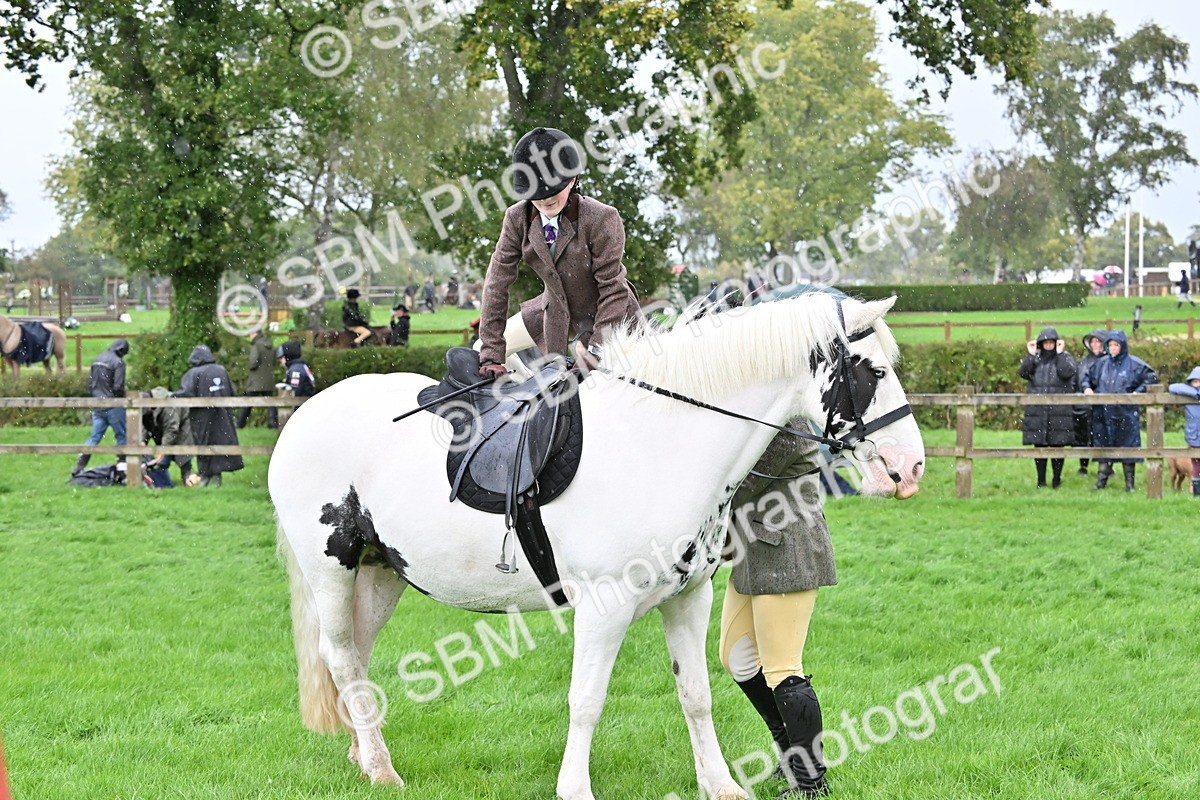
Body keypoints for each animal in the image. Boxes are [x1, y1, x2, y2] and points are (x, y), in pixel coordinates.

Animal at [268, 291, 925, 799]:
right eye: (872, 371)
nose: (911, 466)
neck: (658, 438)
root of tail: (305, 414)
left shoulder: (688, 599)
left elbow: (697, 695)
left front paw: (719, 784)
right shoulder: (603, 610)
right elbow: (586, 699)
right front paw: (574, 789)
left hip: (382, 571)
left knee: (354, 656)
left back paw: (364, 754)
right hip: (332, 569)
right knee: (343, 657)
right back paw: (382, 769)